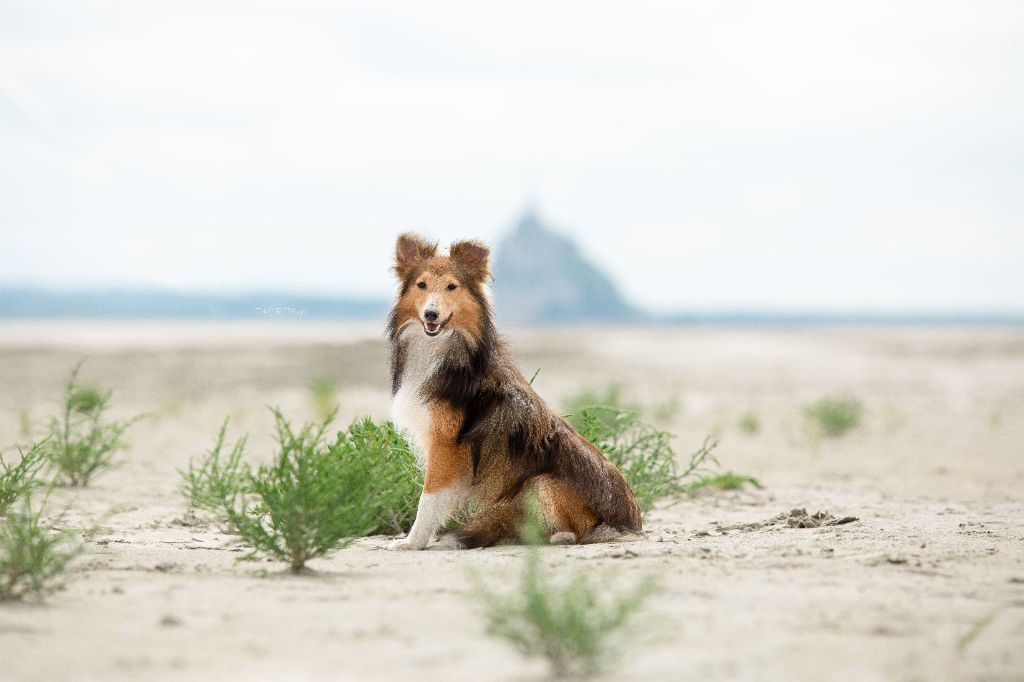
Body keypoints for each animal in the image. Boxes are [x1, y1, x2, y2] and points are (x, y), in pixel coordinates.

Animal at [385, 231, 638, 548]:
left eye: (452, 286)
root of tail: (629, 524)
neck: (443, 347)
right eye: (421, 285)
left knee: (576, 529)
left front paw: (412, 542)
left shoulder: (447, 446)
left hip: (540, 483)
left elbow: (427, 500)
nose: (431, 314)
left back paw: (554, 535)